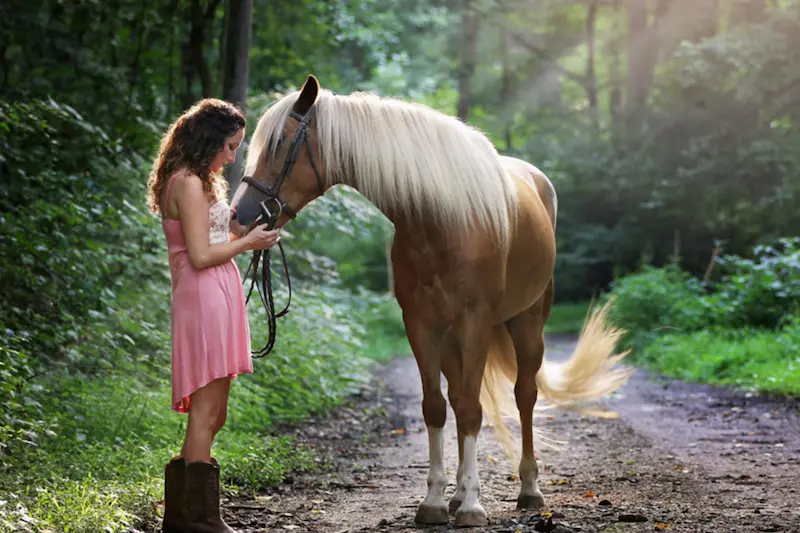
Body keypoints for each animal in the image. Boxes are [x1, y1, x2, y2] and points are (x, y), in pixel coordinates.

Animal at [230, 74, 633, 527]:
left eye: (281, 143)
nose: (238, 216)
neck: (441, 220)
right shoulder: (421, 326)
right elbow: (437, 408)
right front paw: (437, 501)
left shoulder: (475, 323)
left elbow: (473, 409)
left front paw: (473, 506)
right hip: (453, 341)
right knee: (458, 397)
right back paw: (458, 494)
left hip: (527, 324)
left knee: (524, 395)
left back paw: (528, 489)